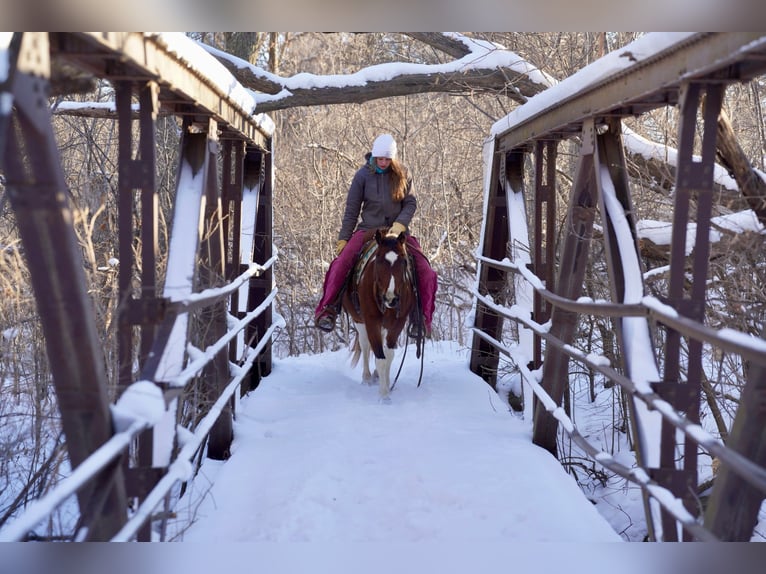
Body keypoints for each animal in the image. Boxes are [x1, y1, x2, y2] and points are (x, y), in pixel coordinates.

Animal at [344, 227, 416, 402]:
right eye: (378, 261)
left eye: (403, 262)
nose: (391, 298)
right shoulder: (371, 322)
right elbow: (379, 358)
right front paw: (383, 396)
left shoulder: (398, 323)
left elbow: (388, 355)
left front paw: (387, 386)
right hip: (359, 321)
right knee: (364, 345)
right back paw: (367, 378)